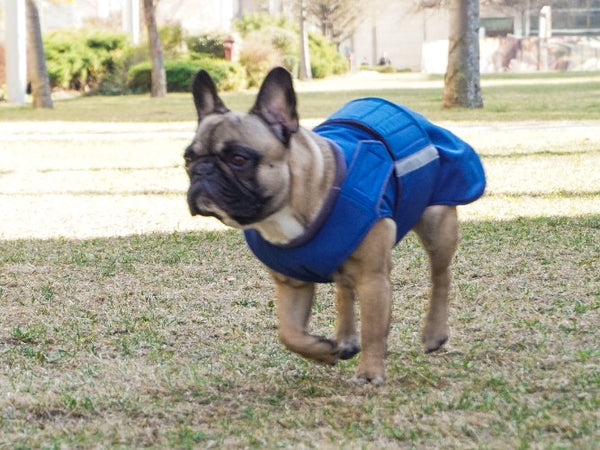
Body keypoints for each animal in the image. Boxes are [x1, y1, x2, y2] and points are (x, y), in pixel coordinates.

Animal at [185, 67, 486, 386]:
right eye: (188, 158)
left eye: (239, 159)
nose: (202, 172)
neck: (289, 208)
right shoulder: (291, 283)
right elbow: (289, 333)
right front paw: (321, 350)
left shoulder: (373, 278)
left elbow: (373, 328)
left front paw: (369, 373)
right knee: (344, 290)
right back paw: (344, 339)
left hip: (436, 224)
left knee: (440, 276)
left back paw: (434, 333)